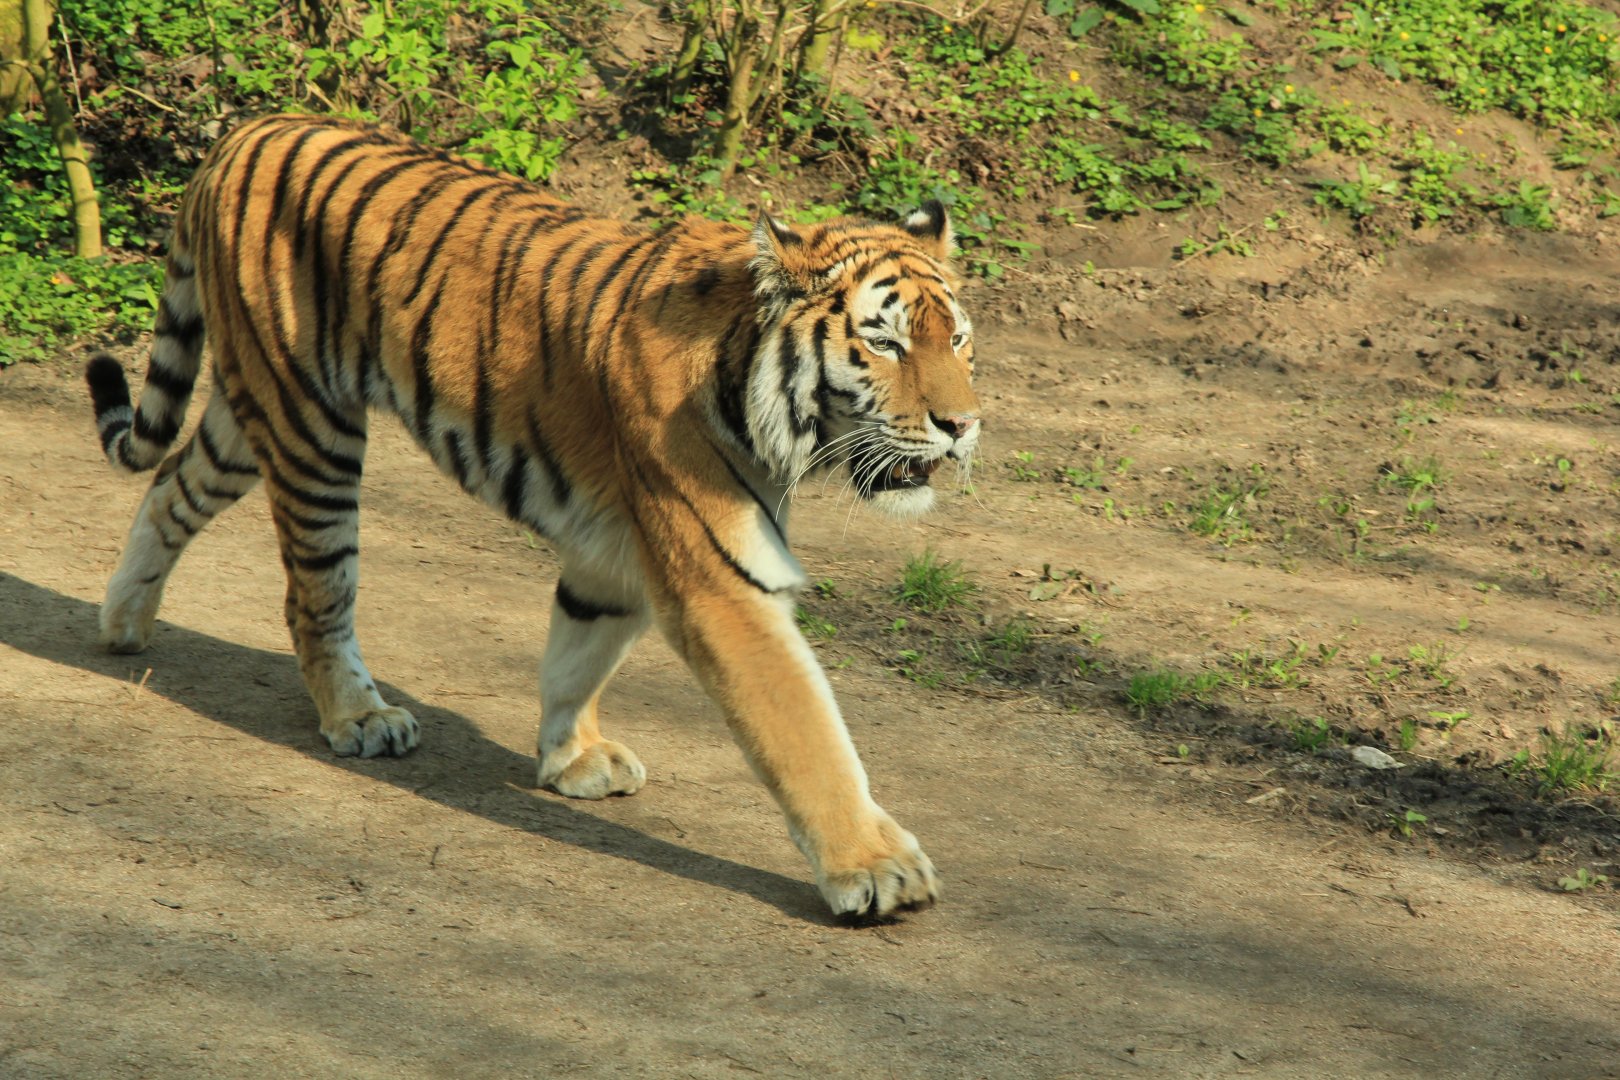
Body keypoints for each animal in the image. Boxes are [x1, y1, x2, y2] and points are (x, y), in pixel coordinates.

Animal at [85, 114, 980, 921]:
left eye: (960, 341)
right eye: (886, 344)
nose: (963, 425)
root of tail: (245, 130)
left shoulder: (613, 549)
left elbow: (579, 650)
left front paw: (572, 758)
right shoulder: (720, 582)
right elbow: (807, 734)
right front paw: (876, 868)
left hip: (251, 414)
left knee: (171, 481)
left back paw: (123, 623)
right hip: (311, 427)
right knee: (315, 592)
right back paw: (359, 716)